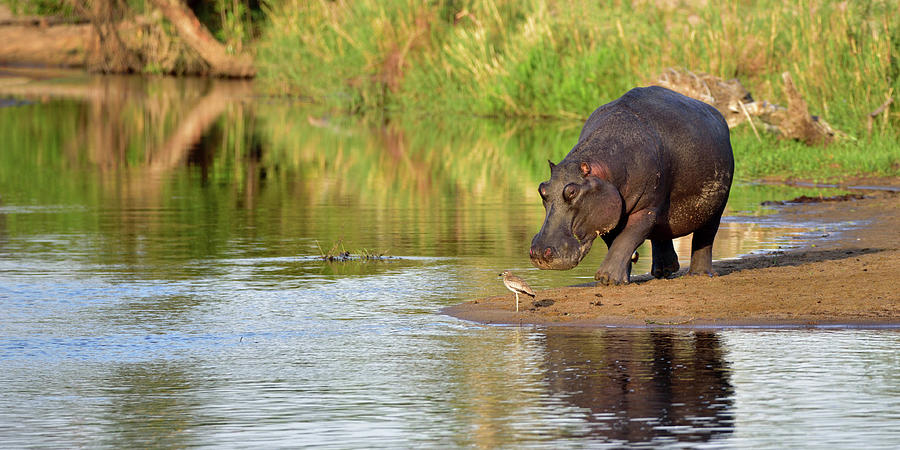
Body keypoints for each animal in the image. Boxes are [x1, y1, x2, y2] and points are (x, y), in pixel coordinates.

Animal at [532, 85, 736, 284]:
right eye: (542, 189)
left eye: (572, 191)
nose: (540, 253)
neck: (604, 168)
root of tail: (718, 114)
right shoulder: (608, 212)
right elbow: (616, 242)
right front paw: (623, 275)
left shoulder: (645, 209)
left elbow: (626, 239)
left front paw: (607, 279)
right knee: (661, 234)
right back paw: (664, 271)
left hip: (715, 208)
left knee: (705, 237)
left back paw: (699, 274)